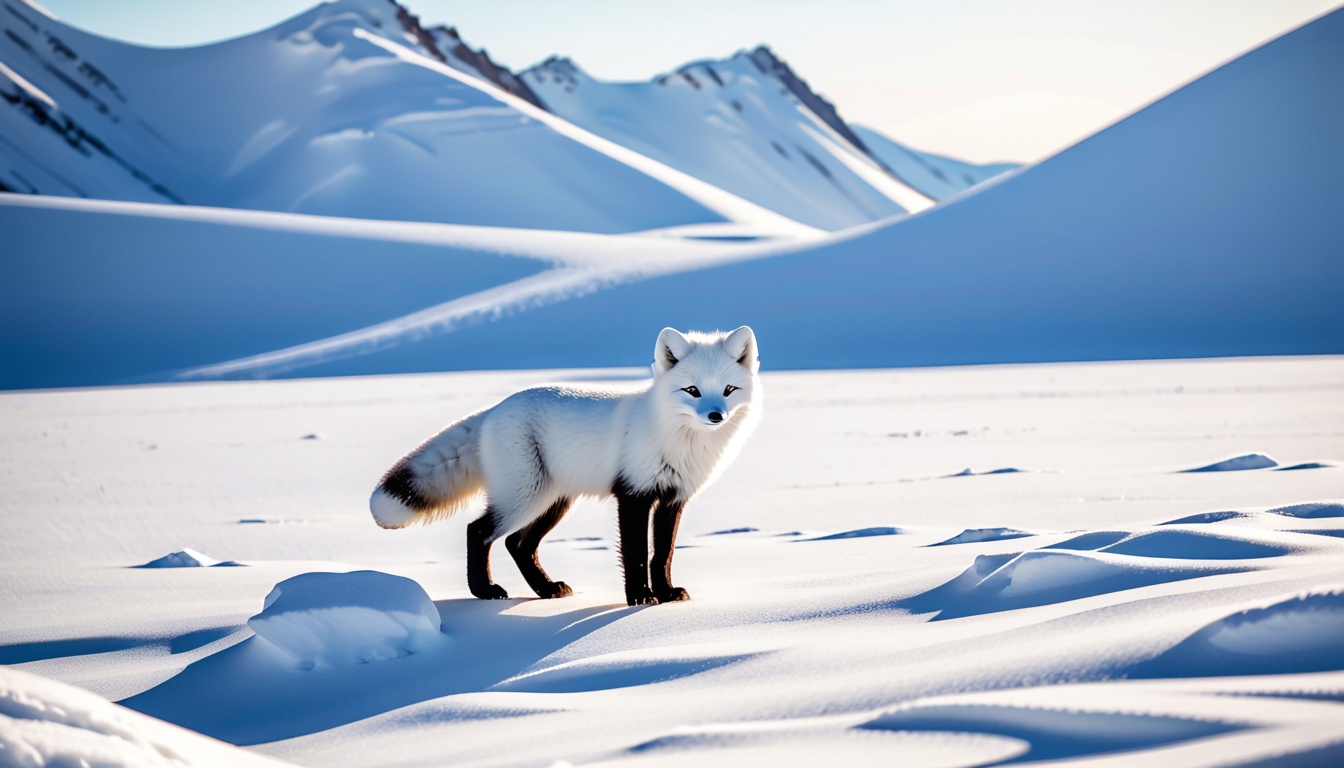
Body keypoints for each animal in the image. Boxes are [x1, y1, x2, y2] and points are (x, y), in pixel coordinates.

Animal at [373, 328, 763, 605]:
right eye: (692, 390)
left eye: (728, 389)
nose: (716, 416)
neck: (681, 442)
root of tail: (495, 409)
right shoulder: (633, 495)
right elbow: (637, 554)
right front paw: (640, 598)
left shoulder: (672, 499)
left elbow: (662, 555)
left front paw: (666, 594)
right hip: (524, 498)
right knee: (478, 531)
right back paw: (485, 591)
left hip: (554, 502)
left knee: (517, 544)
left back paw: (546, 590)